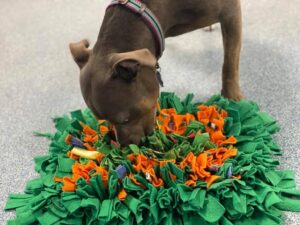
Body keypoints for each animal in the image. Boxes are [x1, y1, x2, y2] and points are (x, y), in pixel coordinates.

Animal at [69, 0, 241, 146]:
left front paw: (232, 98)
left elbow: (230, 62)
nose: (125, 148)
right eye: (102, 120)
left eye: (125, 120)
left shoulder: (230, 13)